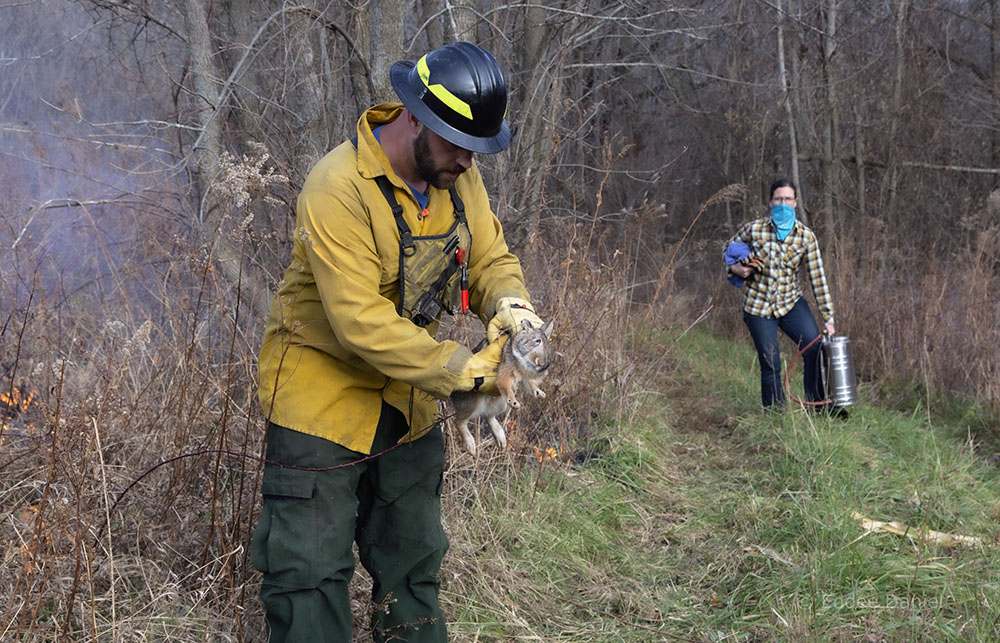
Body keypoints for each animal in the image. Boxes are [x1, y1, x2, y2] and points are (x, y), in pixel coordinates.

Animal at [452, 320, 556, 456]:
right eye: (537, 341)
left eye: (548, 344)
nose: (544, 364)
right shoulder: (505, 373)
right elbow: (506, 386)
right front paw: (514, 402)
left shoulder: (525, 378)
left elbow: (530, 385)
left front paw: (540, 393)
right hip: (472, 403)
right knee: (459, 421)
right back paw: (471, 447)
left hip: (499, 404)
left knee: (488, 416)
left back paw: (501, 439)